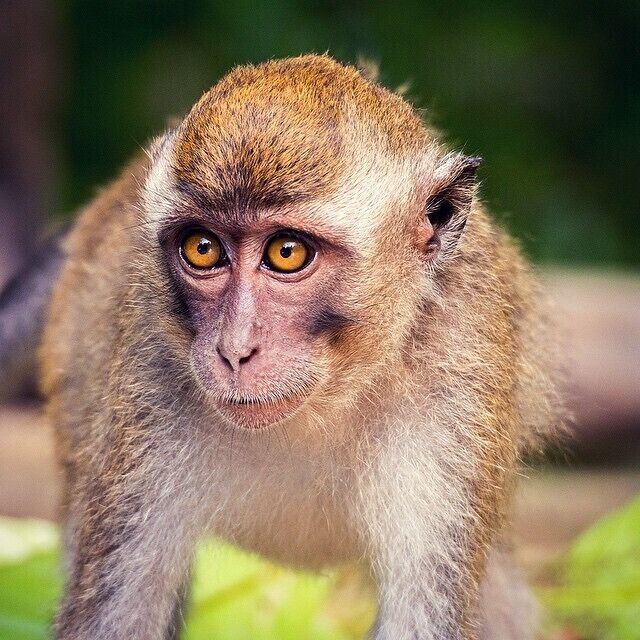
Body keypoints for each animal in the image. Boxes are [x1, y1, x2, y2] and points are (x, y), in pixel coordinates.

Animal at [0, 54, 563, 639]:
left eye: (286, 253)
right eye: (203, 249)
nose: (233, 351)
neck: (331, 399)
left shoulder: (458, 380)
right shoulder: (149, 380)